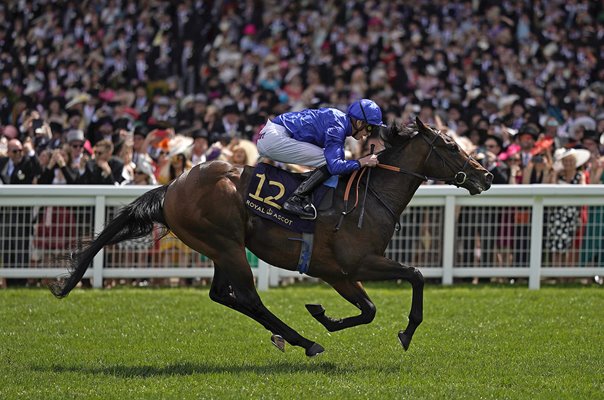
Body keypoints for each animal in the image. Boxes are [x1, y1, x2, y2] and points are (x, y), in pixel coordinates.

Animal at [49, 118, 494, 356]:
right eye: (450, 146)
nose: (486, 175)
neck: (369, 196)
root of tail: (174, 184)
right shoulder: (357, 263)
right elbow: (415, 275)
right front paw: (405, 331)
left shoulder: (338, 273)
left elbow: (368, 309)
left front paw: (324, 314)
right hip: (226, 243)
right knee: (248, 297)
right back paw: (303, 341)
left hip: (220, 247)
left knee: (222, 294)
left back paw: (290, 335)